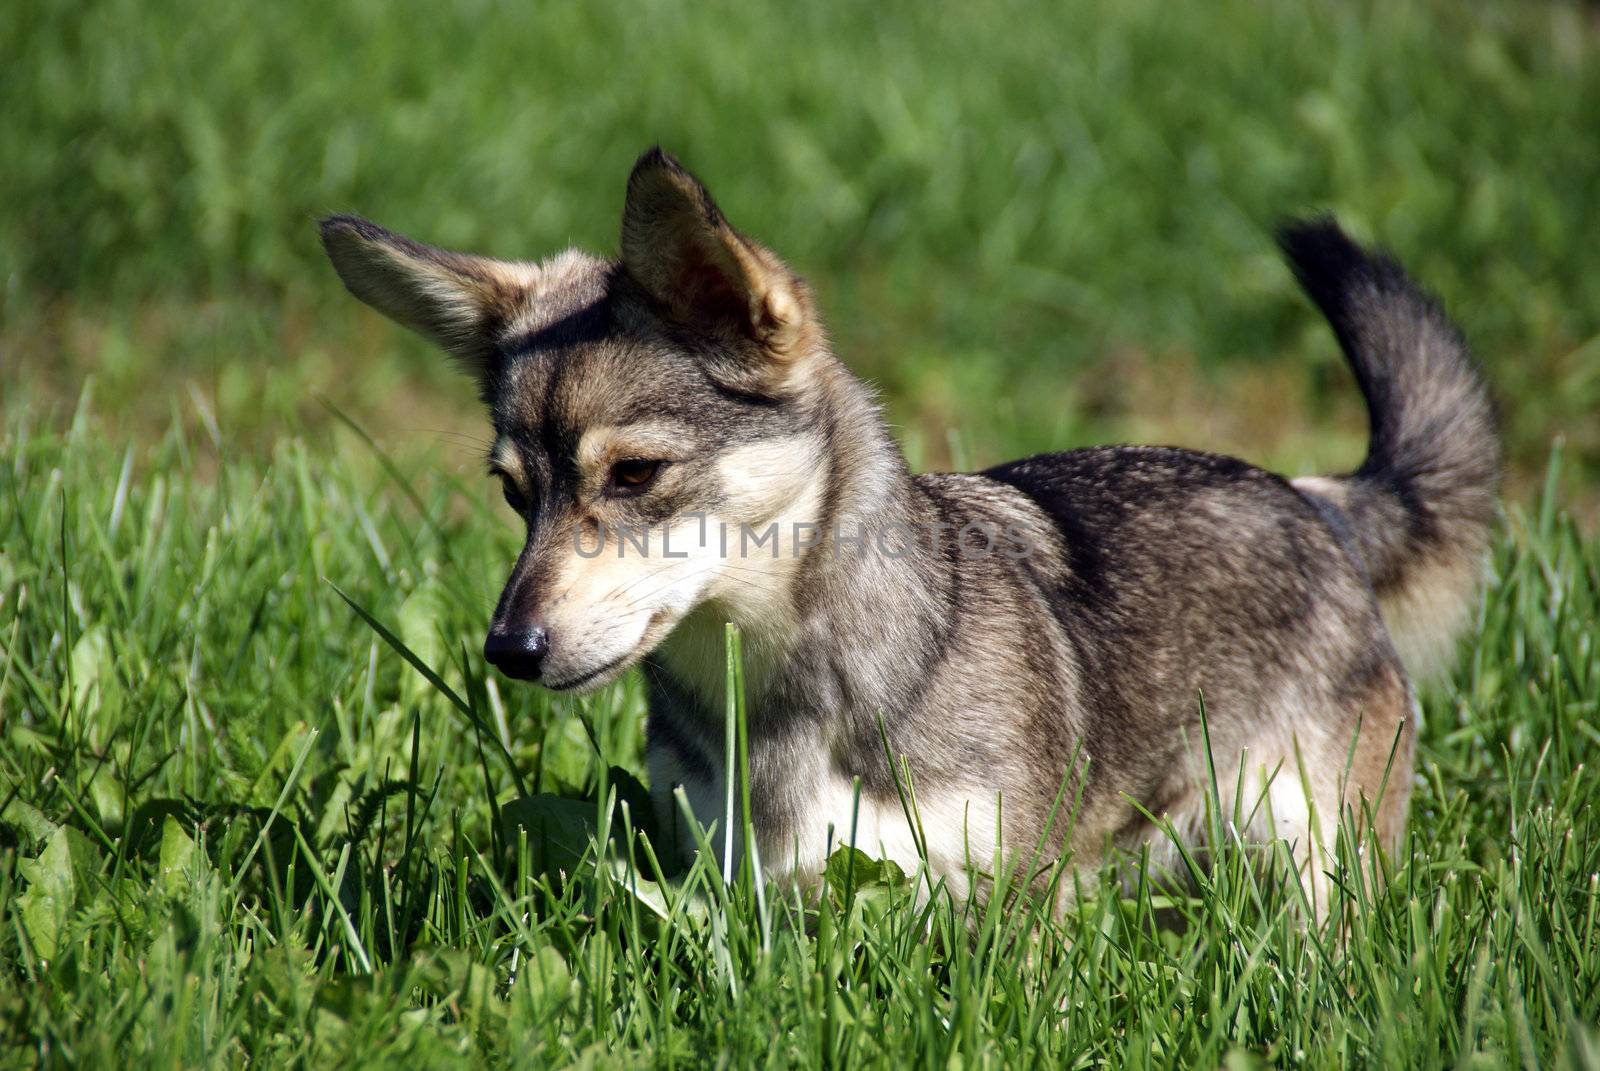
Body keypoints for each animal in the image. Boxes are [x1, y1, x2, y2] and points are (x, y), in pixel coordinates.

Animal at [318, 146, 1491, 909]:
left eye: (636, 473)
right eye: (514, 493)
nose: (508, 650)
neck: (781, 697)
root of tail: (1312, 497)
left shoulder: (1006, 901)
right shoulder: (753, 897)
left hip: (1313, 858)